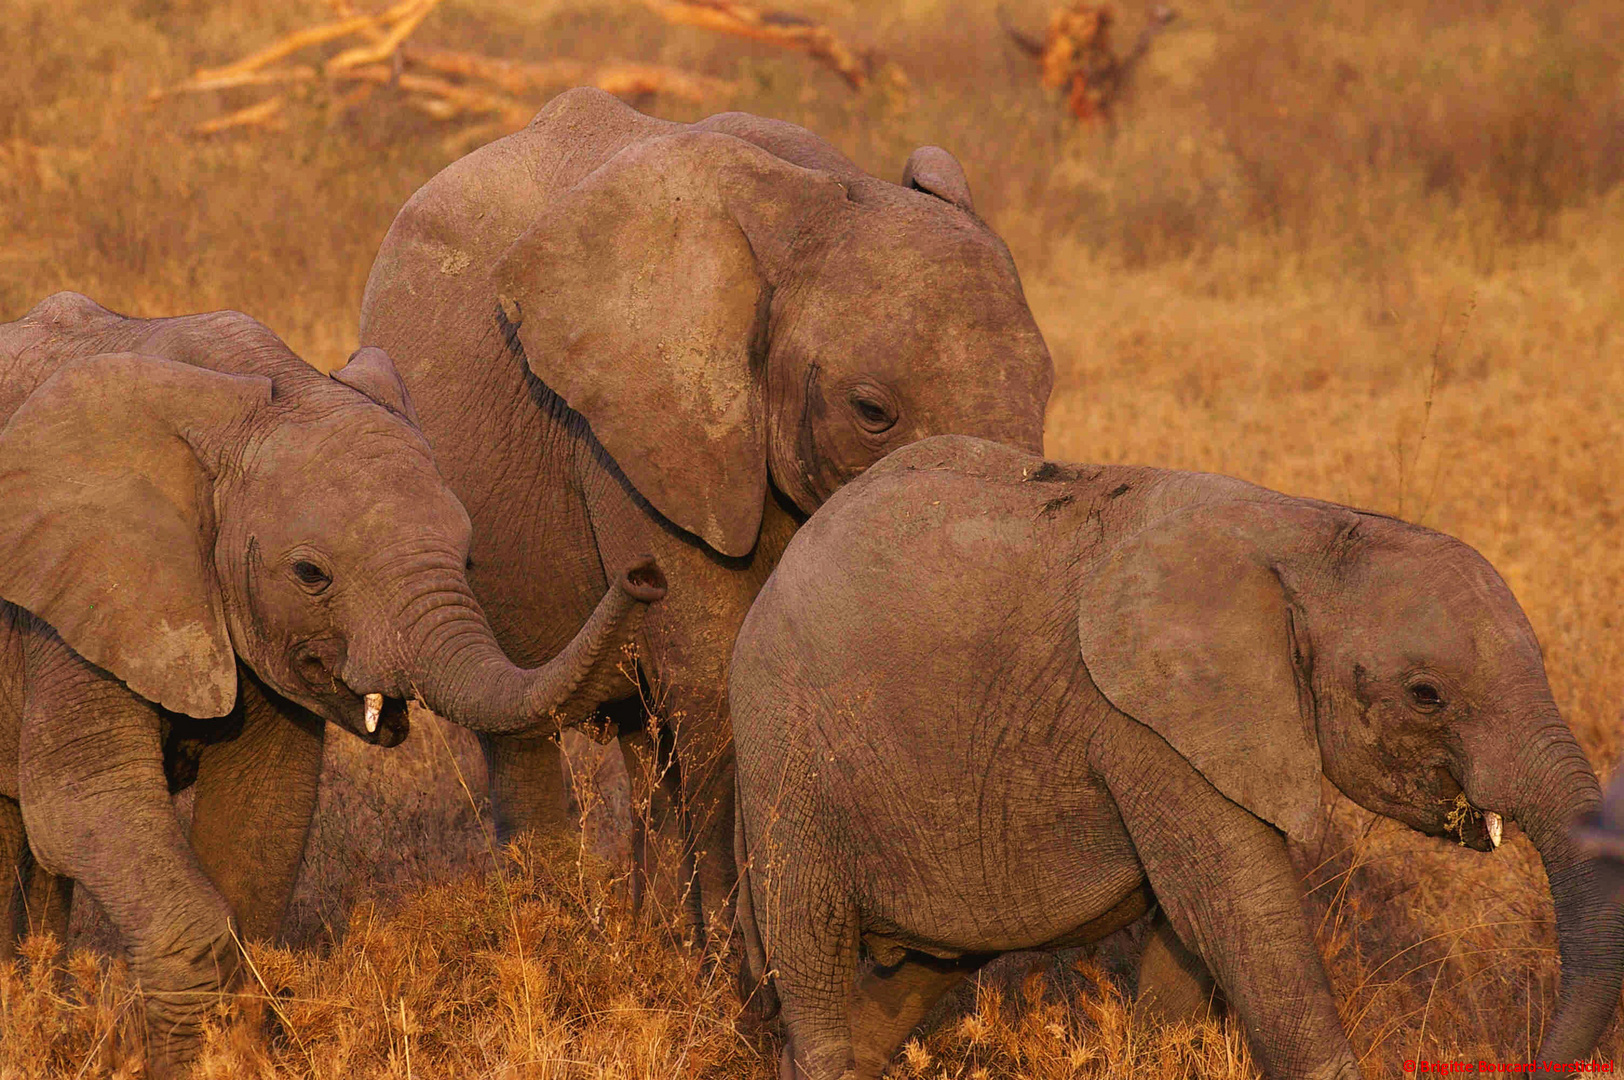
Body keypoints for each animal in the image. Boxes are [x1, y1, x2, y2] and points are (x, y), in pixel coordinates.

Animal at [0, 290, 665, 1071]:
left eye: (469, 556)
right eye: (310, 574)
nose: (645, 572)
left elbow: (262, 810)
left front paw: (234, 1055)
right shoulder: (84, 585)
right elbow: (83, 801)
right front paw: (199, 1060)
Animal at [358, 88, 1052, 935]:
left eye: (1047, 387)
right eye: (872, 411)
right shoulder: (636, 442)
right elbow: (714, 673)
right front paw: (733, 967)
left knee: (643, 745)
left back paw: (653, 939)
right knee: (522, 731)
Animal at [737, 432, 1624, 1078]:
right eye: (1426, 694)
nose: (1529, 1057)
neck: (1305, 533)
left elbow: (1189, 937)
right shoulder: (1145, 724)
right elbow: (1242, 918)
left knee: (917, 971)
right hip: (785, 743)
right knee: (809, 949)